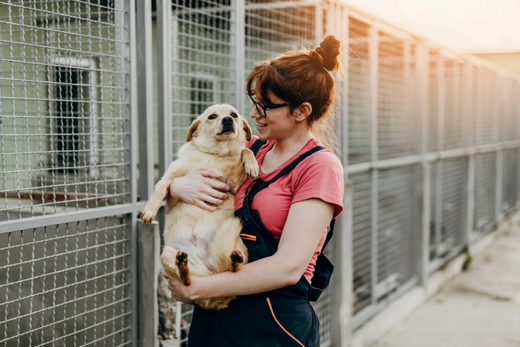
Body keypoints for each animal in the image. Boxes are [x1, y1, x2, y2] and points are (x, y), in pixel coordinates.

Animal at [139, 104, 258, 310]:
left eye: (234, 114)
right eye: (212, 116)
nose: (228, 120)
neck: (214, 155)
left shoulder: (231, 184)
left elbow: (245, 151)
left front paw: (252, 164)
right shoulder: (171, 177)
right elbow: (160, 188)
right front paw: (150, 210)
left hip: (238, 246)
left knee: (232, 270)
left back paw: (234, 261)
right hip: (166, 254)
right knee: (188, 282)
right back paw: (182, 265)